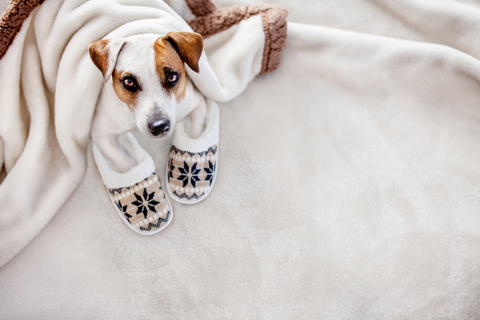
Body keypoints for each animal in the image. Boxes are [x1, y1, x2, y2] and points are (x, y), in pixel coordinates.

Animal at [88, 32, 206, 172]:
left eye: (172, 77)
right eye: (129, 81)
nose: (159, 126)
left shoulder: (196, 103)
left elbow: (195, 134)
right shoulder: (100, 133)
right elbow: (123, 161)